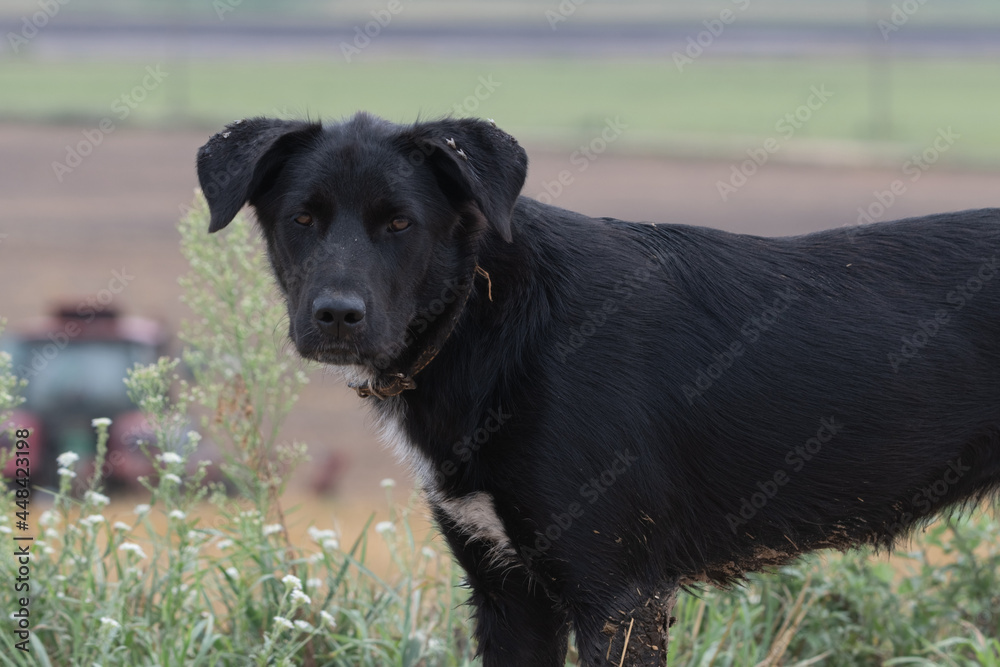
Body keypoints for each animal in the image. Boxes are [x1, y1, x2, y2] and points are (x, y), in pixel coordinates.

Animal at [199, 112, 1000, 664]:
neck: (490, 322)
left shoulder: (619, 598)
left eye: (400, 223)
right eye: (302, 217)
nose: (336, 316)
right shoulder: (507, 597)